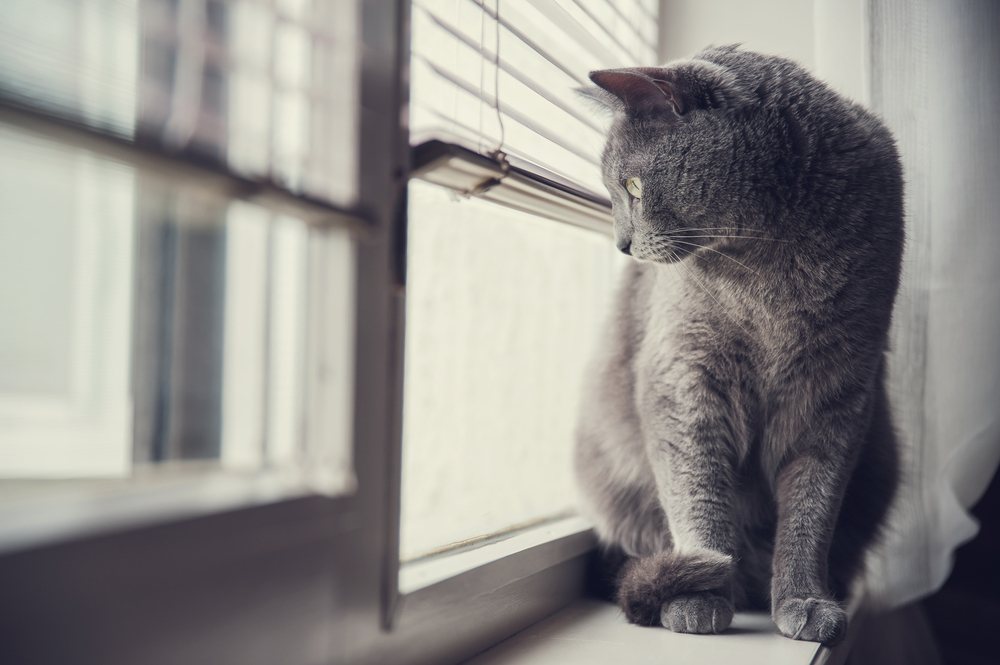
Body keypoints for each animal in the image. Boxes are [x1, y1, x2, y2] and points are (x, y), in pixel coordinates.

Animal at [576, 45, 904, 644]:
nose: (622, 245)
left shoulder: (837, 390)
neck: (765, 258)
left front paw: (804, 601)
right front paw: (700, 594)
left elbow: (811, 511)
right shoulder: (683, 376)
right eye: (613, 193)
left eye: (633, 187)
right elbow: (698, 490)